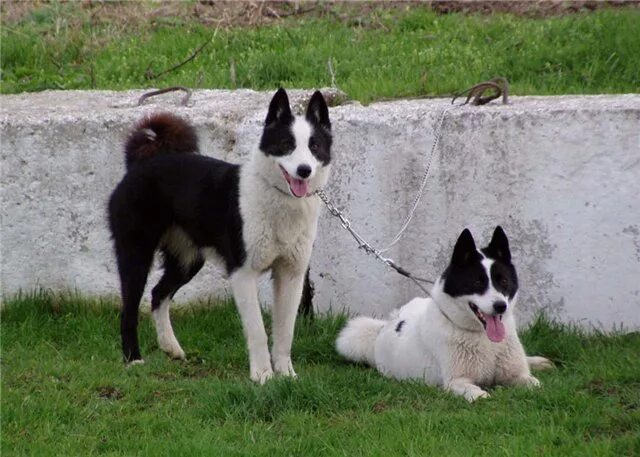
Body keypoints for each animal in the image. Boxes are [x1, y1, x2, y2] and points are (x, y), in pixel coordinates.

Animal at [108, 88, 332, 382]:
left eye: (314, 146)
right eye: (287, 144)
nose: (304, 170)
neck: (278, 199)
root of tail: (140, 165)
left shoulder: (291, 274)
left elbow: (285, 331)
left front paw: (285, 374)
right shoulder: (243, 273)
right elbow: (258, 331)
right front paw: (262, 375)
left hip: (188, 260)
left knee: (158, 294)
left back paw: (171, 347)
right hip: (136, 254)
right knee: (129, 310)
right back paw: (133, 359)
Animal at [338, 226, 552, 400]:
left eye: (504, 281)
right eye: (477, 282)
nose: (501, 306)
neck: (482, 337)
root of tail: (387, 324)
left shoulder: (520, 376)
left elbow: (535, 383)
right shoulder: (456, 381)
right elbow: (480, 395)